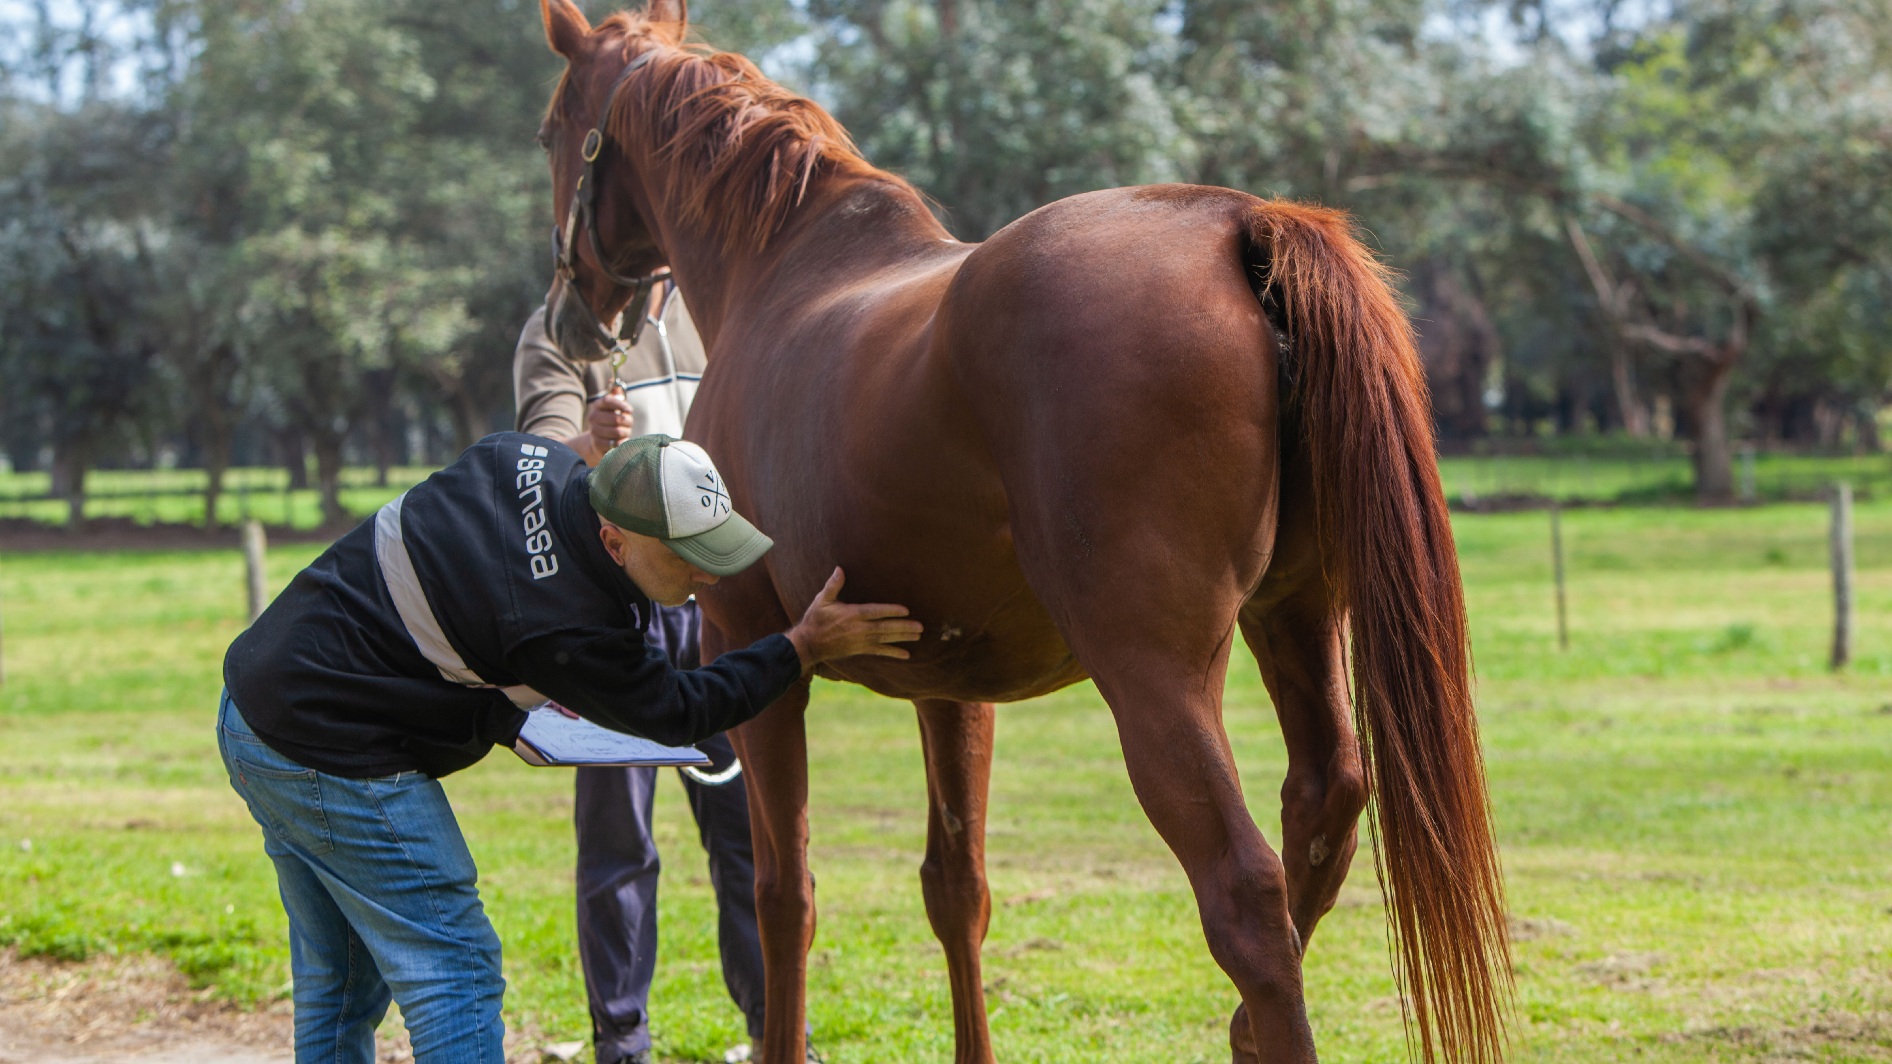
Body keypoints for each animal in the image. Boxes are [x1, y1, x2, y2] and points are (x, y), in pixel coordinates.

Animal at [537, 4, 1506, 1052]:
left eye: (552, 130)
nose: (571, 315)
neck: (786, 273)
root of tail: (1236, 223)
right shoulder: (951, 687)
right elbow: (956, 889)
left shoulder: (750, 649)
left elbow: (782, 894)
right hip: (1295, 616)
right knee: (1320, 813)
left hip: (1155, 674)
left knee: (1246, 896)